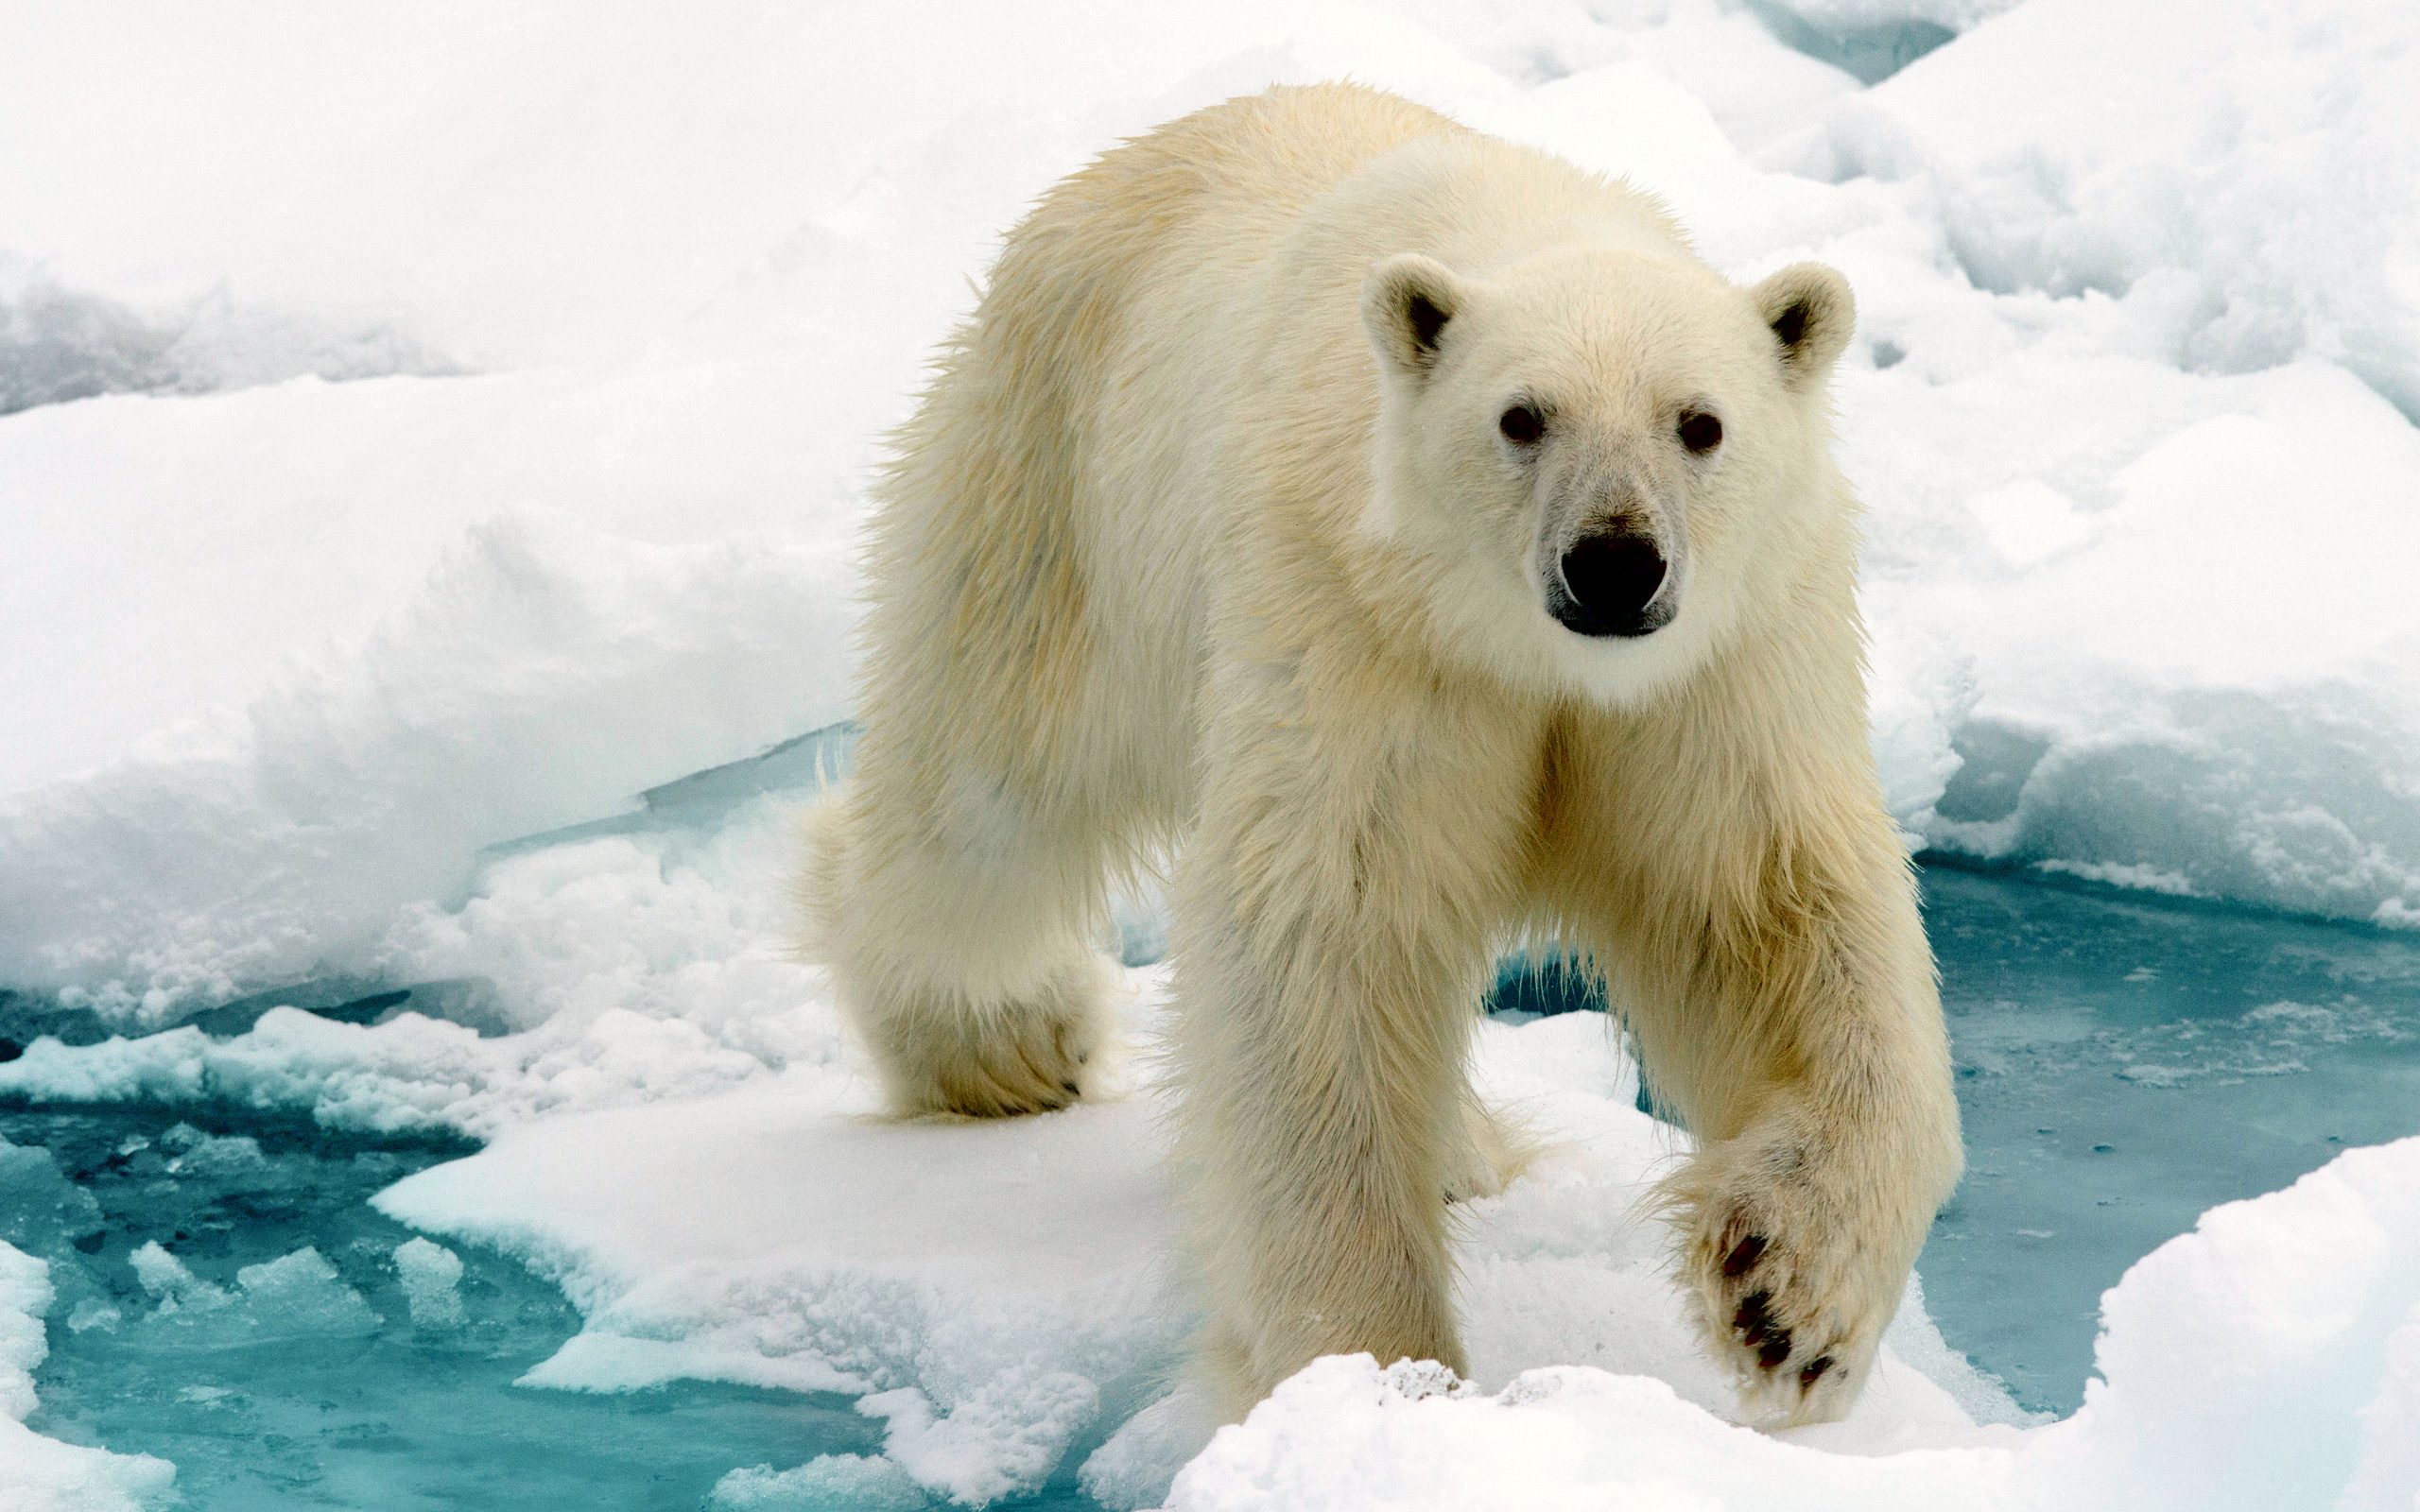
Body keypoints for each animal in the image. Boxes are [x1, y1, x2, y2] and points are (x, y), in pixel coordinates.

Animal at [808, 82, 1964, 1422]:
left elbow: (1767, 909)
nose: (1613, 562)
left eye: (1701, 423)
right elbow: (1329, 932)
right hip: (1051, 493)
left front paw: (1788, 1295)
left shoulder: (1717, 672)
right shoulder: (1359, 621)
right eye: (1520, 417)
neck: (1528, 656)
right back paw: (1006, 1044)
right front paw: (1372, 1370)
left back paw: (1459, 1150)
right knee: (981, 806)